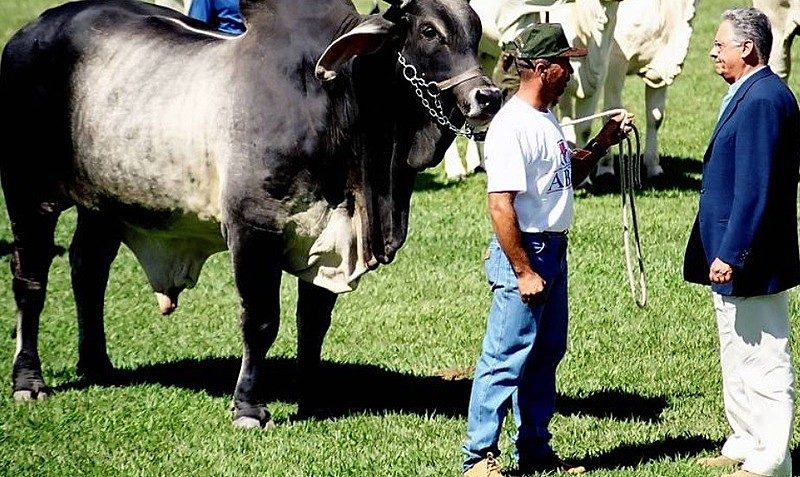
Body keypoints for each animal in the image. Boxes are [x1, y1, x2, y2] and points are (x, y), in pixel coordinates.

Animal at [0, 0, 500, 428]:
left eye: (475, 31)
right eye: (428, 31)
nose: (488, 97)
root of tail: (28, 31)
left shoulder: (327, 237)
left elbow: (313, 323)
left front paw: (311, 394)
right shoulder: (253, 230)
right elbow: (260, 320)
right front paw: (248, 407)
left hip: (104, 203)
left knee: (88, 269)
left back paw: (97, 365)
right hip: (29, 196)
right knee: (30, 280)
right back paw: (29, 380)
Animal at [596, 0, 696, 179]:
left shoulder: (661, 68)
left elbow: (656, 117)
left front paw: (654, 167)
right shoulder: (615, 60)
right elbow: (612, 111)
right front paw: (605, 167)